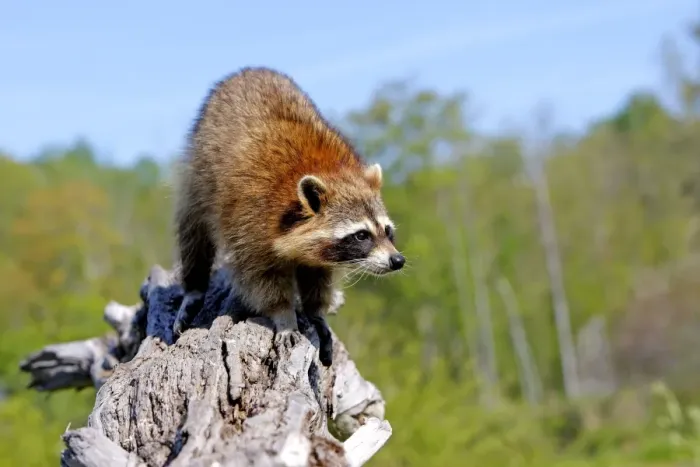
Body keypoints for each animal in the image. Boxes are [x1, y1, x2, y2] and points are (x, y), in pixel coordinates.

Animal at [172, 67, 405, 366]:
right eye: (361, 235)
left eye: (387, 231)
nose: (397, 260)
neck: (330, 172)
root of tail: (251, 70)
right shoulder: (250, 218)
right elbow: (262, 277)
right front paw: (284, 314)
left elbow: (317, 276)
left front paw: (316, 311)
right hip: (198, 173)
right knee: (193, 232)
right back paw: (195, 286)